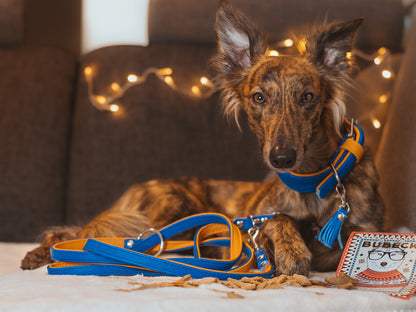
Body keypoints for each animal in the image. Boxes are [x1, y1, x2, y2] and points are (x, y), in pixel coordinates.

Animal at [21, 0, 386, 274]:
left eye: (307, 97)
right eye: (258, 98)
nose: (281, 159)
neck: (314, 181)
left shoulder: (367, 230)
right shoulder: (251, 227)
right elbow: (278, 218)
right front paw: (292, 250)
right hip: (168, 212)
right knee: (85, 233)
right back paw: (43, 253)